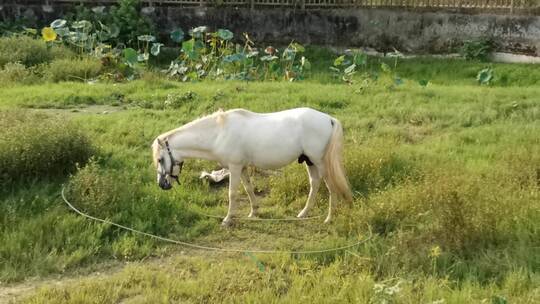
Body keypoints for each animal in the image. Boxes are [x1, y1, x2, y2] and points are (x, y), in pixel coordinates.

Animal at [152, 107, 354, 226]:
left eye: (160, 159)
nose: (162, 184)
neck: (219, 133)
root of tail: (329, 119)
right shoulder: (242, 168)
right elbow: (249, 189)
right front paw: (254, 212)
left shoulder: (234, 167)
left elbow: (232, 193)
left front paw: (227, 219)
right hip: (309, 161)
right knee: (315, 183)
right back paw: (303, 213)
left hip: (320, 162)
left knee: (330, 186)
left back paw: (329, 218)